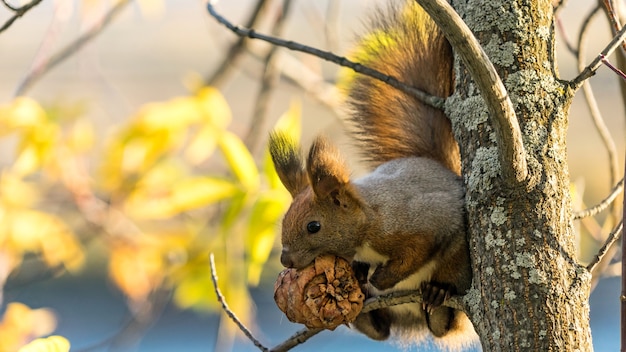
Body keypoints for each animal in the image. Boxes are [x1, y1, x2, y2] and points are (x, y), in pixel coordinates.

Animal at [266, 0, 472, 348]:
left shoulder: (418, 224)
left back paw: (437, 296)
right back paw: (363, 310)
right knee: (381, 330)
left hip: (457, 264)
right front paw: (361, 275)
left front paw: (380, 276)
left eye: (313, 226)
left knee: (445, 322)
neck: (367, 223)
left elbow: (415, 253)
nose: (286, 261)